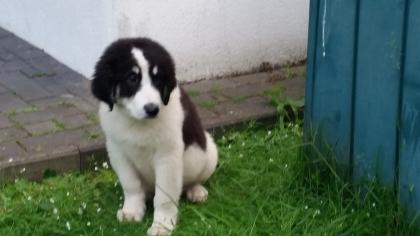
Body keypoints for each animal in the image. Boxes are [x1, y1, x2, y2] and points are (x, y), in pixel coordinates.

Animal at [90, 37, 218, 235]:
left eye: (157, 79)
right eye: (132, 78)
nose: (152, 109)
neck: (136, 122)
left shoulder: (167, 157)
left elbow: (164, 196)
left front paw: (162, 225)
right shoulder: (117, 151)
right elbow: (131, 184)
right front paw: (132, 211)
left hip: (208, 151)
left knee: (194, 179)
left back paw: (196, 191)